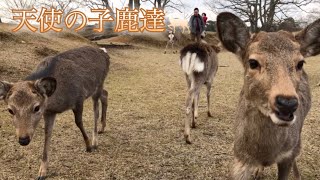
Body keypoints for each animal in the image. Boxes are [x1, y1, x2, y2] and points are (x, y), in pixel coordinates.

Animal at [0, 46, 110, 179]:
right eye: (10, 110)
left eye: (36, 107)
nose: (23, 140)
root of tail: (104, 51)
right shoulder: (49, 112)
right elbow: (47, 134)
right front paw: (42, 172)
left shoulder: (79, 98)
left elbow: (79, 122)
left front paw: (88, 146)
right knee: (105, 94)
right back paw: (102, 128)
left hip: (99, 83)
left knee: (96, 109)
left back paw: (95, 141)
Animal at [216, 11, 320, 179]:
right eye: (253, 62)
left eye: (300, 63)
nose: (287, 103)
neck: (265, 153)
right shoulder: (240, 158)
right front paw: (257, 170)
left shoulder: (287, 156)